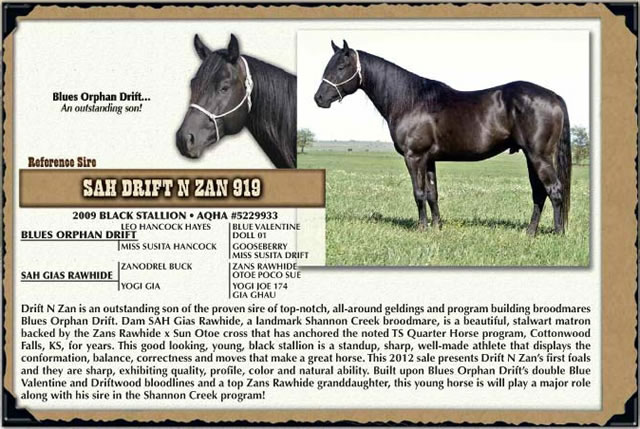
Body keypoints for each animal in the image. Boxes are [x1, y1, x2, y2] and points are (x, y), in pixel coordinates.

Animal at [314, 40, 571, 235]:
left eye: (341, 66)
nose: (319, 99)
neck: (411, 102)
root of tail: (554, 96)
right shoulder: (429, 160)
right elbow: (432, 194)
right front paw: (437, 227)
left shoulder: (414, 157)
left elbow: (418, 193)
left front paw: (422, 228)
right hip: (531, 157)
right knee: (540, 193)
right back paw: (530, 232)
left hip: (539, 157)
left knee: (554, 190)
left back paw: (557, 233)